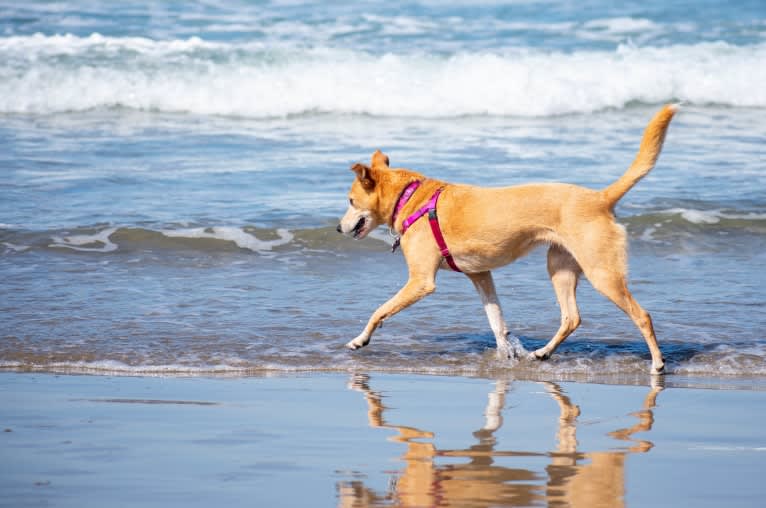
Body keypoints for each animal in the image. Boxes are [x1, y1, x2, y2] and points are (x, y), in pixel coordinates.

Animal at [336, 104, 680, 374]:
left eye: (351, 201)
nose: (338, 229)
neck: (411, 198)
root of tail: (600, 198)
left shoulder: (421, 281)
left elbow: (380, 310)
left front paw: (360, 339)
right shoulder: (480, 274)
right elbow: (497, 321)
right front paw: (506, 355)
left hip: (602, 273)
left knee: (642, 315)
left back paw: (658, 364)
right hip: (560, 268)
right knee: (572, 317)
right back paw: (543, 353)